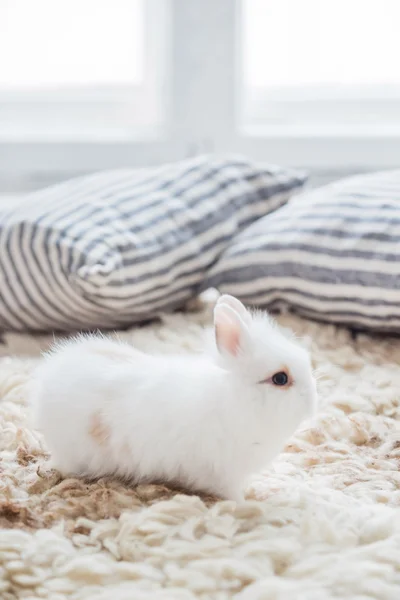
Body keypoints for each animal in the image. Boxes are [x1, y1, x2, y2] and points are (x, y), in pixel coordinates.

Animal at [31, 296, 318, 502]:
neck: (237, 400)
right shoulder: (224, 473)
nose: (312, 404)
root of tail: (46, 382)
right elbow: (232, 494)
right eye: (280, 378)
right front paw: (246, 504)